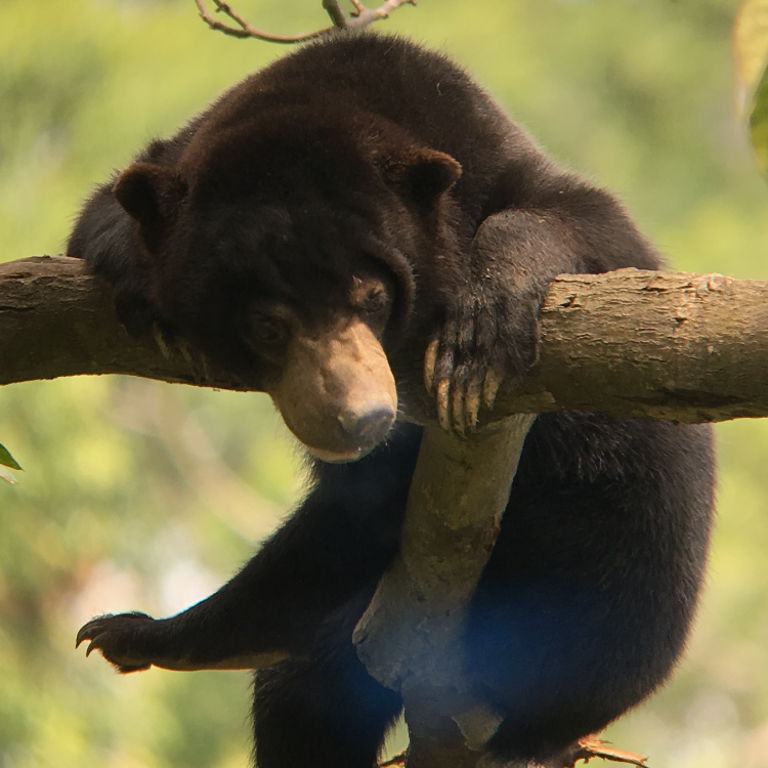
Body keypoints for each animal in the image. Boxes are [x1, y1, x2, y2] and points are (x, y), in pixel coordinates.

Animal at [68, 32, 715, 768]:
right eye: (267, 326)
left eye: (372, 297)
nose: (361, 418)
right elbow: (103, 212)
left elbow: (583, 221)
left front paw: (474, 343)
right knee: (304, 691)